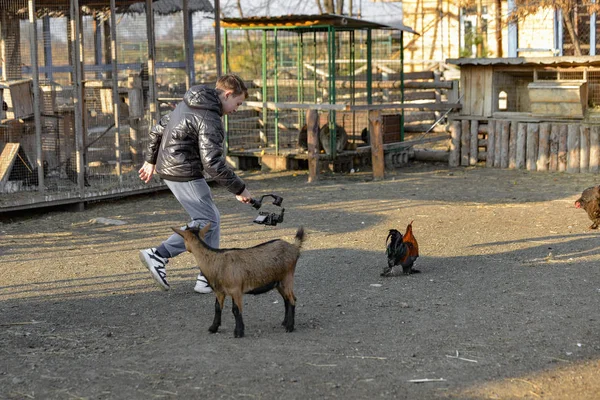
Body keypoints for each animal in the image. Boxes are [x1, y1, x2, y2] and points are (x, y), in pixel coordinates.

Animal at [172, 225, 304, 338]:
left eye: (183, 239)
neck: (215, 260)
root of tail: (294, 247)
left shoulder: (236, 289)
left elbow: (236, 310)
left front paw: (239, 332)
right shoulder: (220, 291)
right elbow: (217, 307)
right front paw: (213, 328)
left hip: (287, 277)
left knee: (292, 300)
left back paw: (290, 327)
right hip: (279, 282)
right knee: (287, 299)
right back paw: (284, 322)